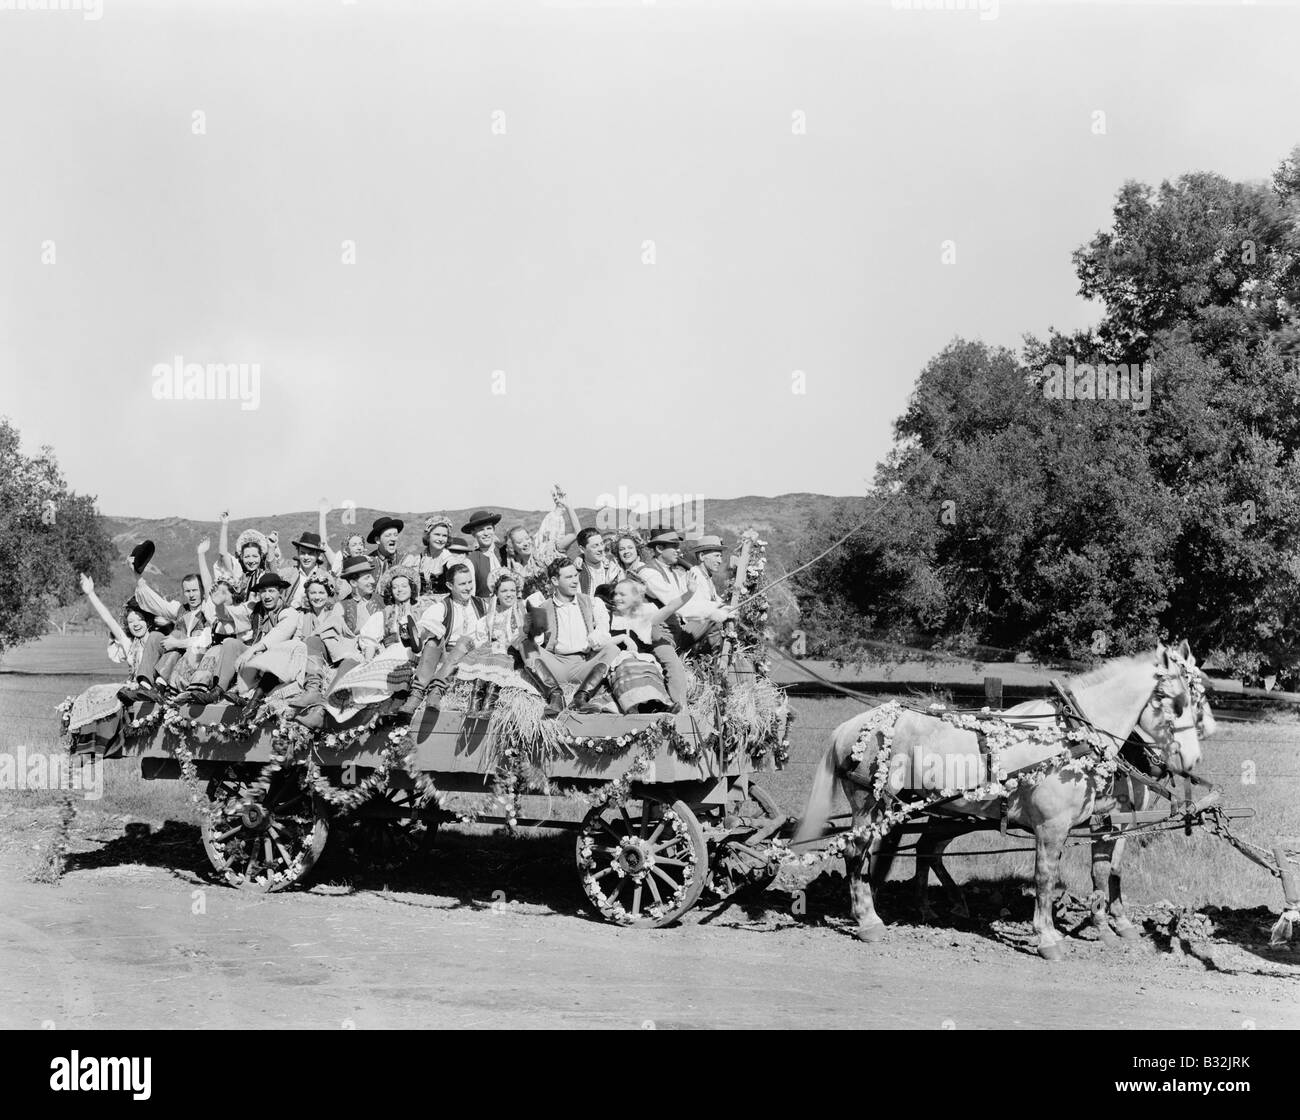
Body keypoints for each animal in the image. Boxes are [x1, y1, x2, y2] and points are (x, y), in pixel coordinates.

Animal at [790, 644, 1206, 961]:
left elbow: (1106, 871)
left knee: (914, 850)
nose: (1192, 759)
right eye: (1175, 701)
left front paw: (1108, 926)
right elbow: (1047, 877)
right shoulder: (1053, 826)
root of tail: (851, 726)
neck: (1074, 736)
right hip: (868, 803)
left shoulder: (1107, 821)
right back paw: (868, 920)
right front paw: (1050, 938)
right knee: (856, 853)